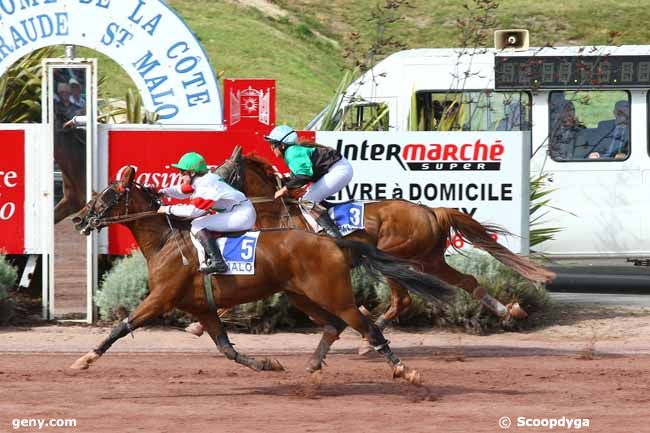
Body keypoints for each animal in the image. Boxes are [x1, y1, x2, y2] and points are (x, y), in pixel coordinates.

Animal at [67, 165, 450, 384]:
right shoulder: (201, 307)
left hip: (334, 295)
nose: (78, 218)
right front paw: (268, 364)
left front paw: (84, 360)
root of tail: (332, 241)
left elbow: (121, 327)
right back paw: (313, 365)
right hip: (302, 295)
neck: (166, 241)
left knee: (367, 327)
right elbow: (226, 349)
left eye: (106, 196)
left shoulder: (160, 299)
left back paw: (405, 371)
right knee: (333, 326)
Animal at [228, 154, 552, 332]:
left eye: (226, 171)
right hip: (429, 260)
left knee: (403, 300)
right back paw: (507, 311)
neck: (277, 212)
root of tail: (430, 211)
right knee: (467, 281)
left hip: (395, 258)